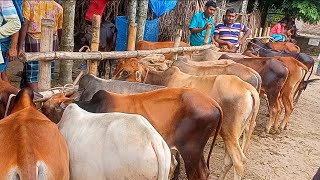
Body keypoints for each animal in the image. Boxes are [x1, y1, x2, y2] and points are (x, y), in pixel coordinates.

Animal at [112, 58, 260, 179]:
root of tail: (249, 89)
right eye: (117, 67)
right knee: (229, 161)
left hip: (229, 133)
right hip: (234, 133)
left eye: (125, 72)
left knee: (239, 161)